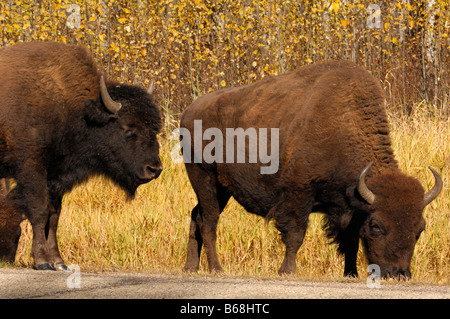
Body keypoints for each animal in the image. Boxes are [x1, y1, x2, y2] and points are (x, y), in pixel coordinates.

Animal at [0, 42, 162, 272]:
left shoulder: (57, 177)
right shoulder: (32, 169)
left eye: (155, 129)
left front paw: (59, 262)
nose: (154, 169)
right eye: (128, 128)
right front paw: (42, 261)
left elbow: (54, 216)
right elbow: (39, 211)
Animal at [180, 60, 442, 280]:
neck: (342, 129)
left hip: (222, 189)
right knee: (209, 222)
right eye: (376, 225)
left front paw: (351, 274)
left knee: (195, 215)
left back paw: (190, 267)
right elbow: (296, 234)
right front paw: (287, 271)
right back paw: (216, 268)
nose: (398, 274)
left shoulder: (346, 208)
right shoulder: (298, 194)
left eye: (420, 228)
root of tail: (189, 111)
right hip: (204, 178)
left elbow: (349, 240)